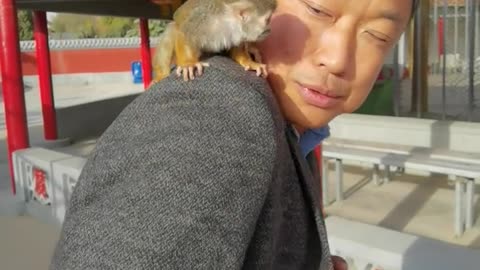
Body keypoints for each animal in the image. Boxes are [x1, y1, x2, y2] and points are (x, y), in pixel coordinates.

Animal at [150, 0, 278, 82]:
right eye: (268, 20)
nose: (269, 29)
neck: (227, 22)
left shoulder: (237, 32)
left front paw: (249, 62)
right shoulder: (202, 19)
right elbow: (184, 33)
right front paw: (188, 64)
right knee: (172, 30)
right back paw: (160, 76)